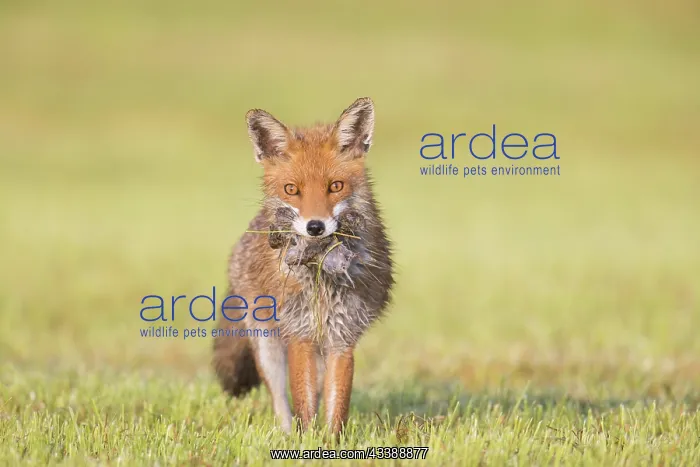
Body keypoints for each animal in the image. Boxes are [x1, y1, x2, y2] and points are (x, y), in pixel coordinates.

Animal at [212, 97, 394, 437]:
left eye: (335, 186)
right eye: (291, 189)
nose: (315, 227)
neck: (321, 279)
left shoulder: (342, 338)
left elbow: (335, 407)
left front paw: (332, 443)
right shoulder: (300, 335)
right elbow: (303, 404)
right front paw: (305, 441)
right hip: (266, 344)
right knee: (279, 400)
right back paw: (284, 434)